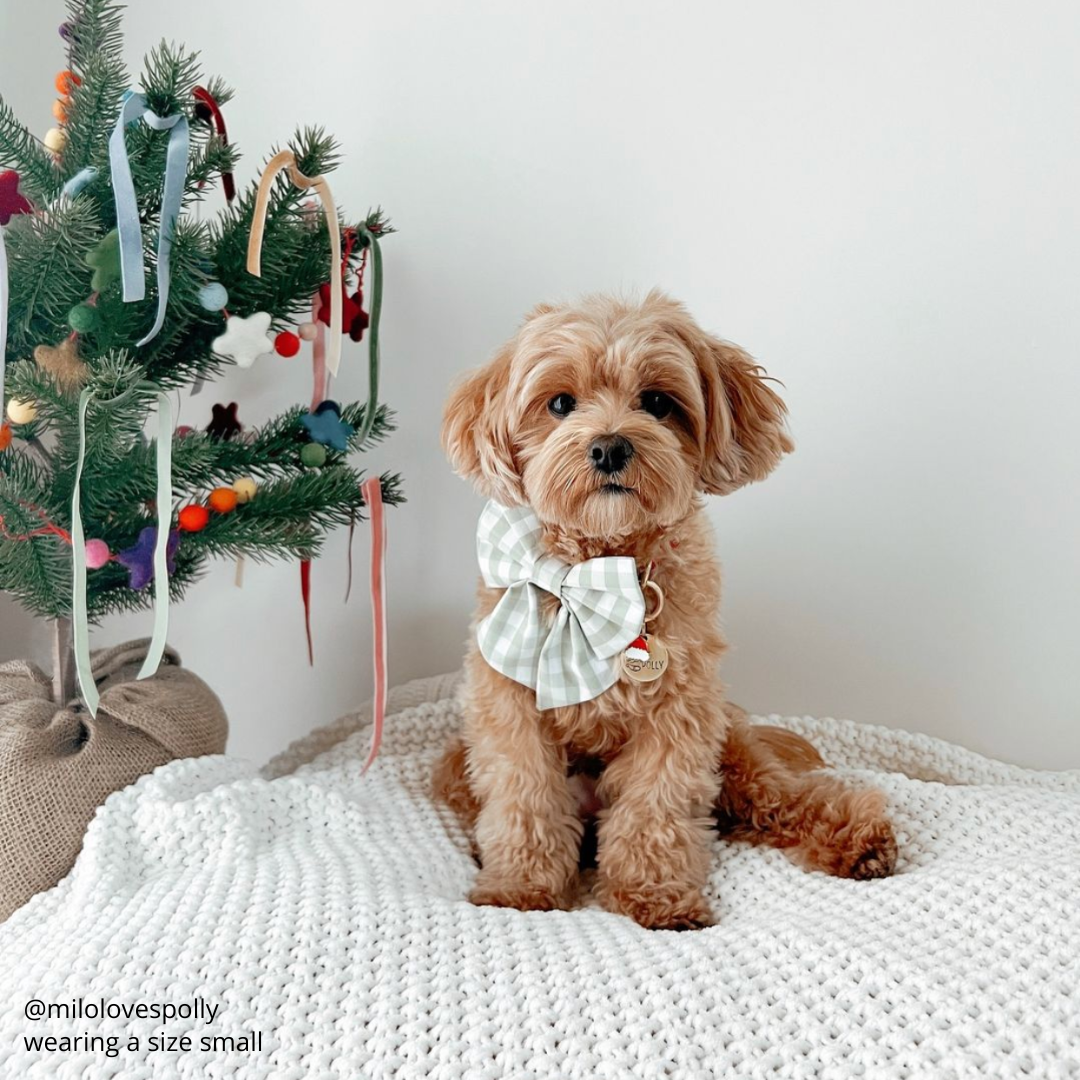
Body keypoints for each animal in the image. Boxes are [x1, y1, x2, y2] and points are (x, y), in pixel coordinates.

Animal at [429, 289, 894, 928]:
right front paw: (519, 889)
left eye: (656, 402)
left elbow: (655, 806)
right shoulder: (508, 706)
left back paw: (859, 839)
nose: (609, 447)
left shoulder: (679, 712)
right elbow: (525, 797)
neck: (599, 568)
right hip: (456, 764)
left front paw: (655, 896)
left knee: (776, 797)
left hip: (731, 745)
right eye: (559, 403)